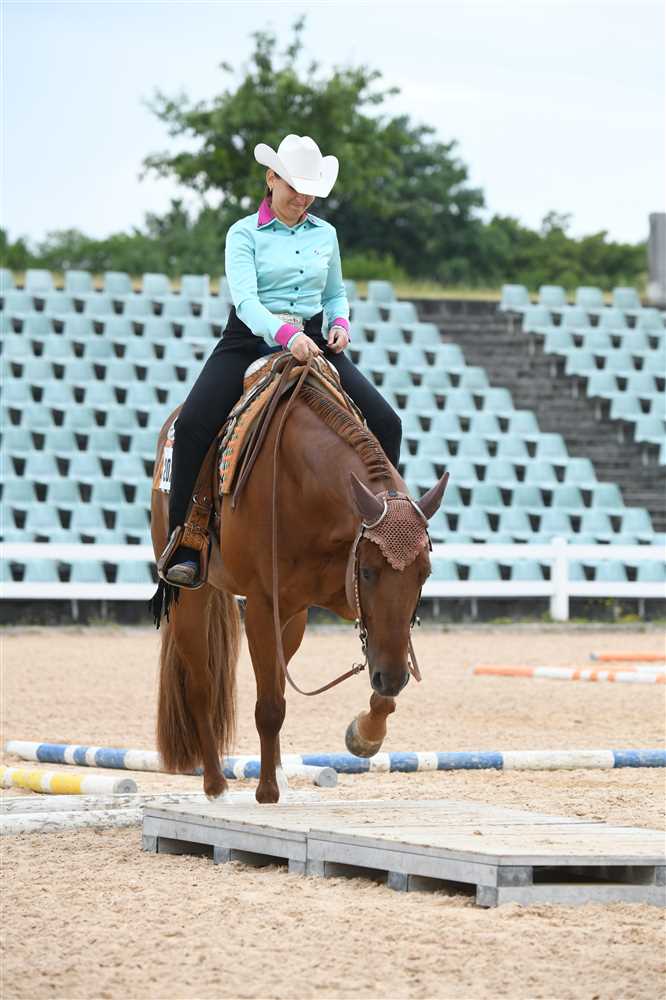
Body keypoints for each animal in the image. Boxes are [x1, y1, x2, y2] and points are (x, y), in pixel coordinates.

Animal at [150, 364, 448, 803]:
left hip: (294, 620)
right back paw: (217, 785)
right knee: (202, 686)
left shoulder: (351, 612)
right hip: (193, 596)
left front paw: (365, 735)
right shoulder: (262, 606)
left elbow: (381, 689)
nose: (392, 676)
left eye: (423, 574)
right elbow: (269, 705)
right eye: (367, 571)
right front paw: (267, 792)